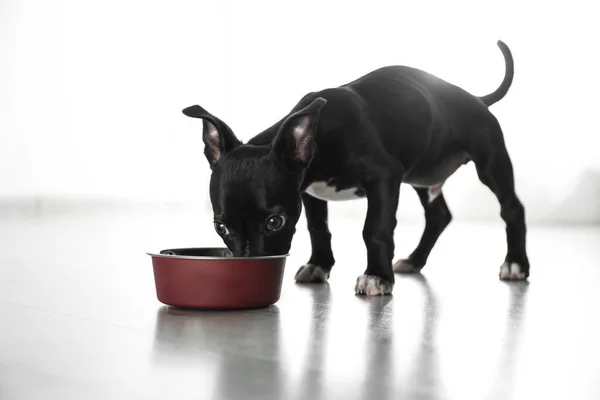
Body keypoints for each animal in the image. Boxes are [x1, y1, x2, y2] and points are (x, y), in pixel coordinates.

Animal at [184, 40, 528, 296]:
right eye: (220, 227)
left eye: (274, 222)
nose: (249, 267)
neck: (320, 133)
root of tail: (477, 99)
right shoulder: (309, 192)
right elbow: (318, 229)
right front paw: (319, 265)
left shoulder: (385, 177)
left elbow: (374, 229)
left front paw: (377, 276)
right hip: (421, 177)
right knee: (439, 216)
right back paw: (414, 261)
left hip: (491, 163)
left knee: (512, 209)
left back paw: (516, 265)